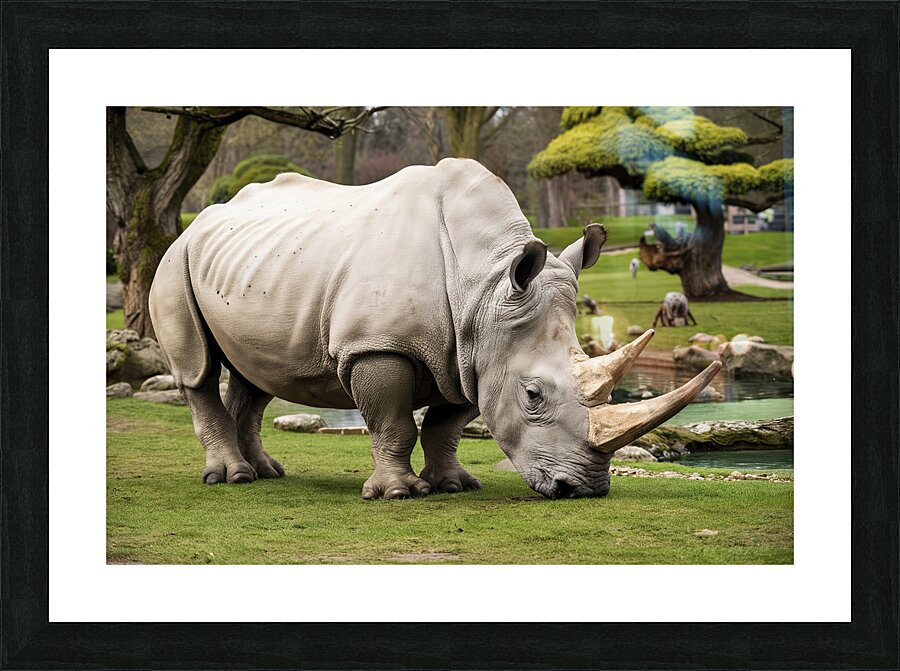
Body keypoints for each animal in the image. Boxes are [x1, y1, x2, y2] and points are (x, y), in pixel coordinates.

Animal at [150, 158, 720, 499]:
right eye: (533, 395)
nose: (582, 488)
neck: (486, 286)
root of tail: (204, 218)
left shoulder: (473, 352)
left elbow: (448, 424)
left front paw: (454, 485)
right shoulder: (378, 346)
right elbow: (393, 422)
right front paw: (398, 493)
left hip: (255, 264)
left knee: (255, 373)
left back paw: (267, 472)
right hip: (174, 258)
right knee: (198, 369)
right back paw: (231, 479)